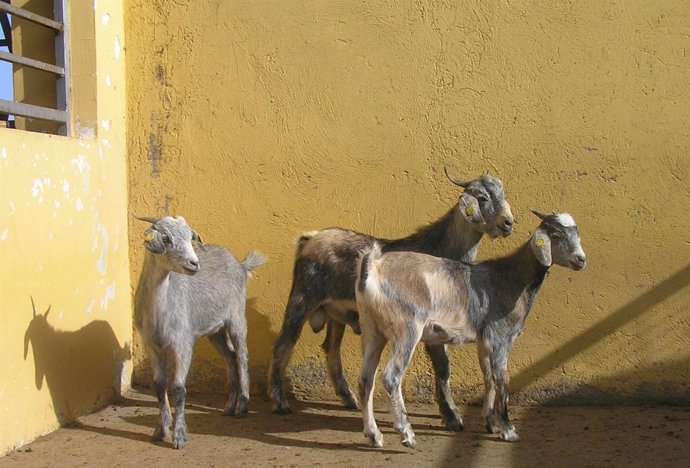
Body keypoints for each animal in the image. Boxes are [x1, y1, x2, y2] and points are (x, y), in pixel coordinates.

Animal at [133, 216, 264, 450]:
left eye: (189, 238)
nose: (194, 263)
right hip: (215, 330)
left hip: (236, 317)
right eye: (166, 238)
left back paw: (242, 406)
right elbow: (159, 385)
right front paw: (160, 430)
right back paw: (229, 406)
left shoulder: (182, 342)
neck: (160, 310)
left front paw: (179, 436)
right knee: (230, 356)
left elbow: (178, 387)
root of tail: (241, 264)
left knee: (242, 356)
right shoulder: (151, 345)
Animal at [266, 168, 512, 432]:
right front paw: (453, 417)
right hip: (303, 297)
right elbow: (443, 367)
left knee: (331, 348)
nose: (508, 223)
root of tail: (309, 239)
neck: (441, 249)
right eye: (482, 198)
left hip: (335, 313)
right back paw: (280, 402)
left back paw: (348, 398)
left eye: (502, 194)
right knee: (284, 344)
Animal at [354, 211, 584, 446]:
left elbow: (489, 377)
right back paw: (406, 433)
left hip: (372, 330)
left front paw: (490, 422)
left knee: (365, 381)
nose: (581, 260)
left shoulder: (484, 340)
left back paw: (373, 435)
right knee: (391, 377)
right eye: (555, 235)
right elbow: (502, 378)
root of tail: (373, 268)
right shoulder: (500, 336)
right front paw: (508, 429)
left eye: (577, 234)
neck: (513, 278)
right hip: (406, 330)